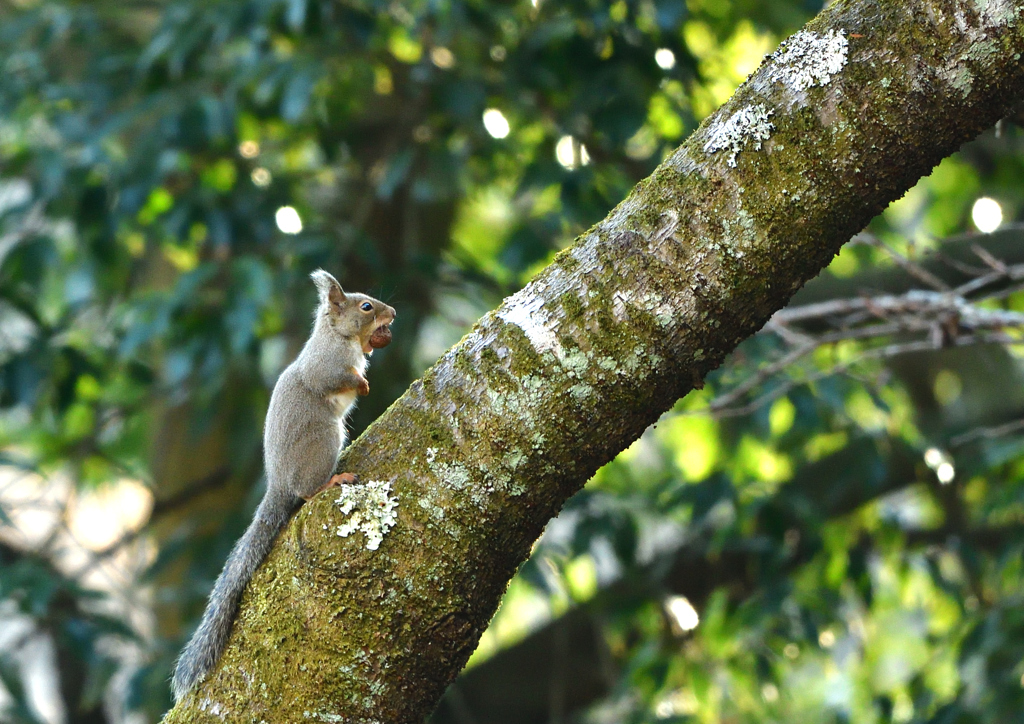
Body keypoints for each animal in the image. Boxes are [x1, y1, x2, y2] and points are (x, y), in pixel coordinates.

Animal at [169, 268, 393, 700]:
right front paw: (362, 383)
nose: (392, 312)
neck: (337, 336)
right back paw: (331, 479)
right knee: (307, 492)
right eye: (366, 306)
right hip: (324, 440)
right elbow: (336, 378)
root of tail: (278, 484)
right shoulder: (327, 365)